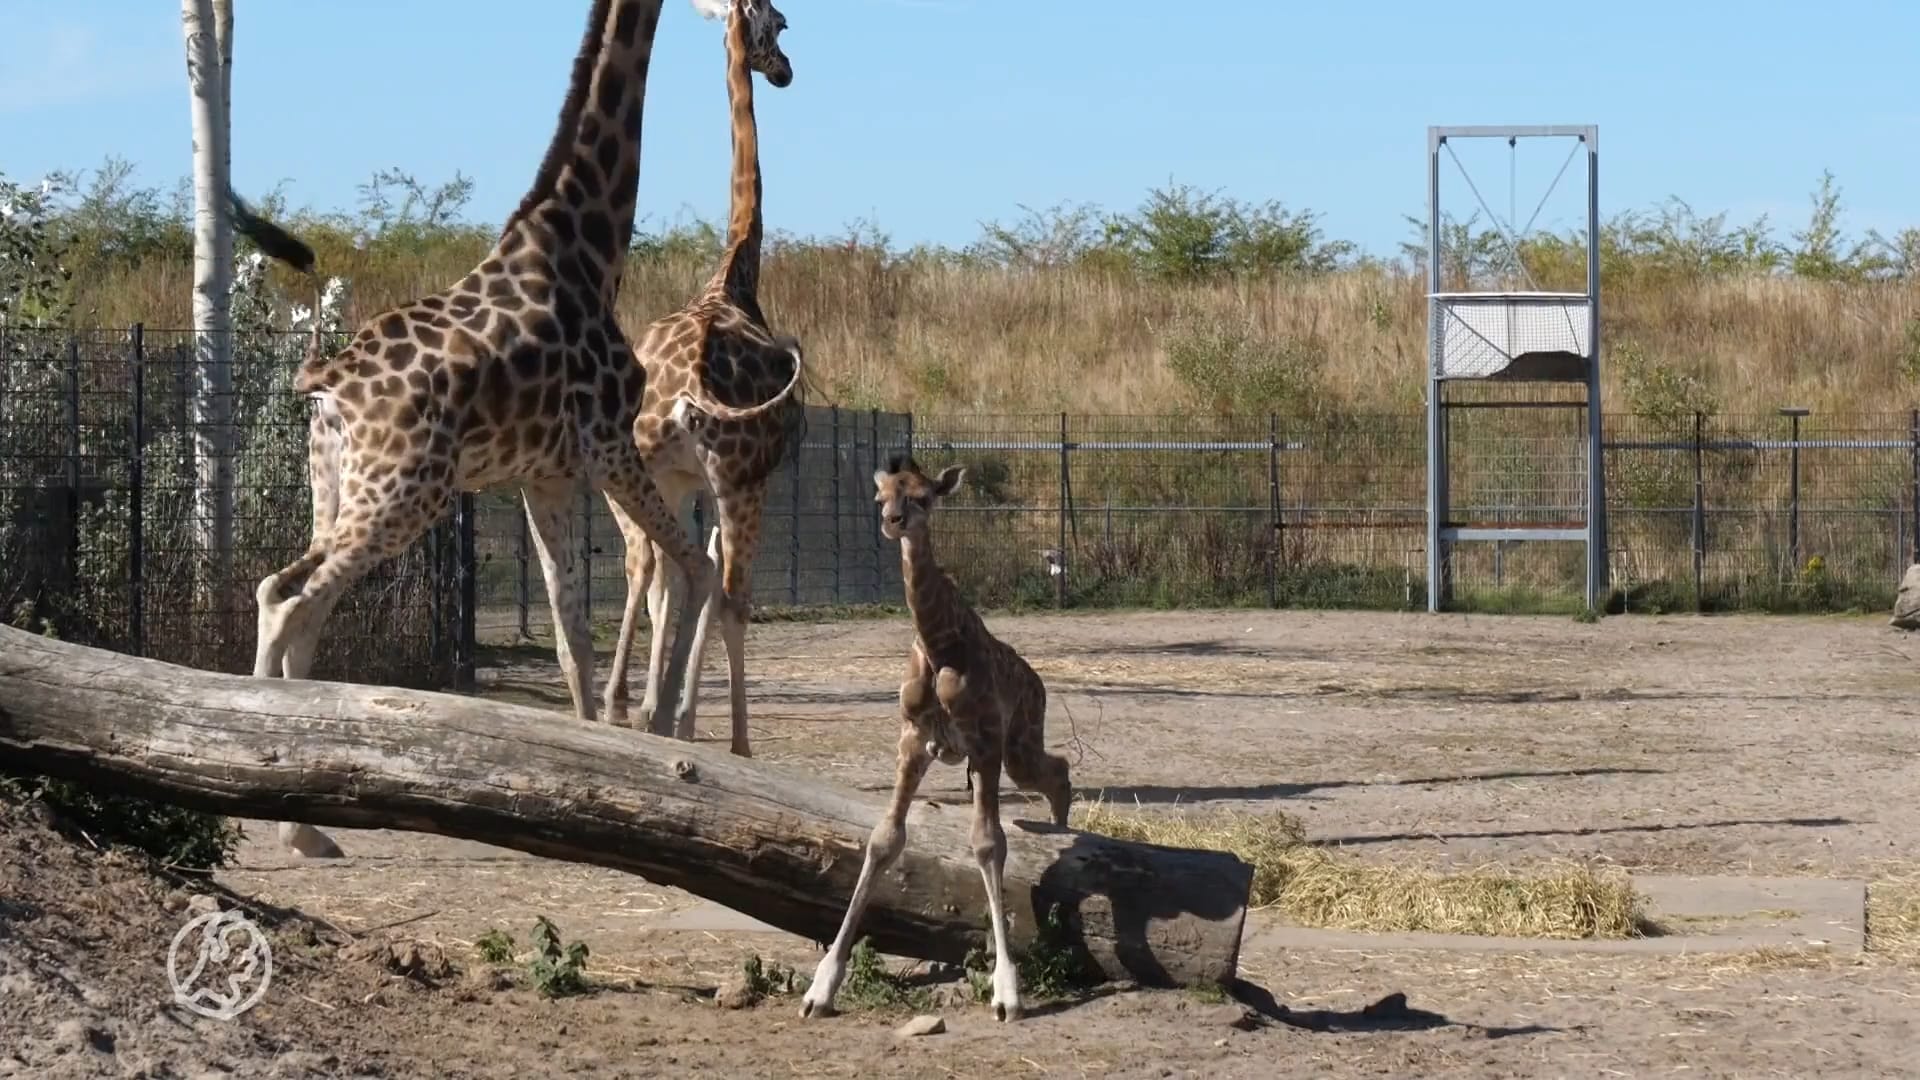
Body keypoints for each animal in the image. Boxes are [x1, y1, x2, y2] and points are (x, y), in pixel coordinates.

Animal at [791, 451, 1067, 1014]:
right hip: (1008, 753)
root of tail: (1037, 681)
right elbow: (883, 840)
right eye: (881, 496)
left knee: (1060, 772)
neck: (939, 642)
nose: (892, 521)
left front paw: (1007, 990)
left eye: (923, 497)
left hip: (1019, 746)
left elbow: (987, 844)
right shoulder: (913, 740)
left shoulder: (984, 740)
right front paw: (821, 986)